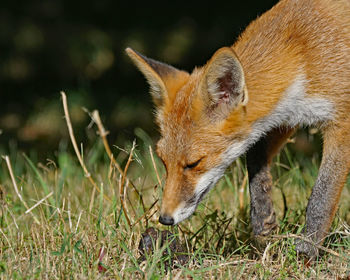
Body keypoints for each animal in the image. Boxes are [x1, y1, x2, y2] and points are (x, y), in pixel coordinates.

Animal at [126, 0, 350, 258]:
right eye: (163, 160)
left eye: (194, 163)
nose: (164, 219)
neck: (302, 51)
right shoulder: (284, 117)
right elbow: (255, 160)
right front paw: (263, 220)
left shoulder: (341, 122)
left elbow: (321, 198)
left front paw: (306, 250)